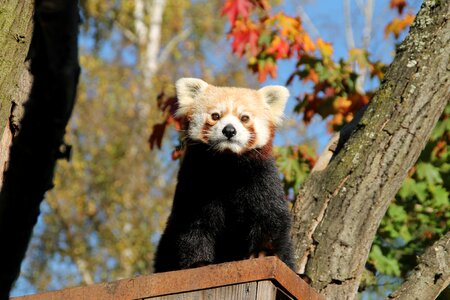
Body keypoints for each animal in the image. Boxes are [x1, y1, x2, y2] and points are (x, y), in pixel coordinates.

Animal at [154, 77, 296, 272]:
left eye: (244, 118)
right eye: (215, 116)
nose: (229, 130)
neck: (228, 167)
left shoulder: (263, 177)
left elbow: (271, 216)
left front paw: (262, 252)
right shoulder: (193, 183)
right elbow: (193, 224)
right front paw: (198, 262)